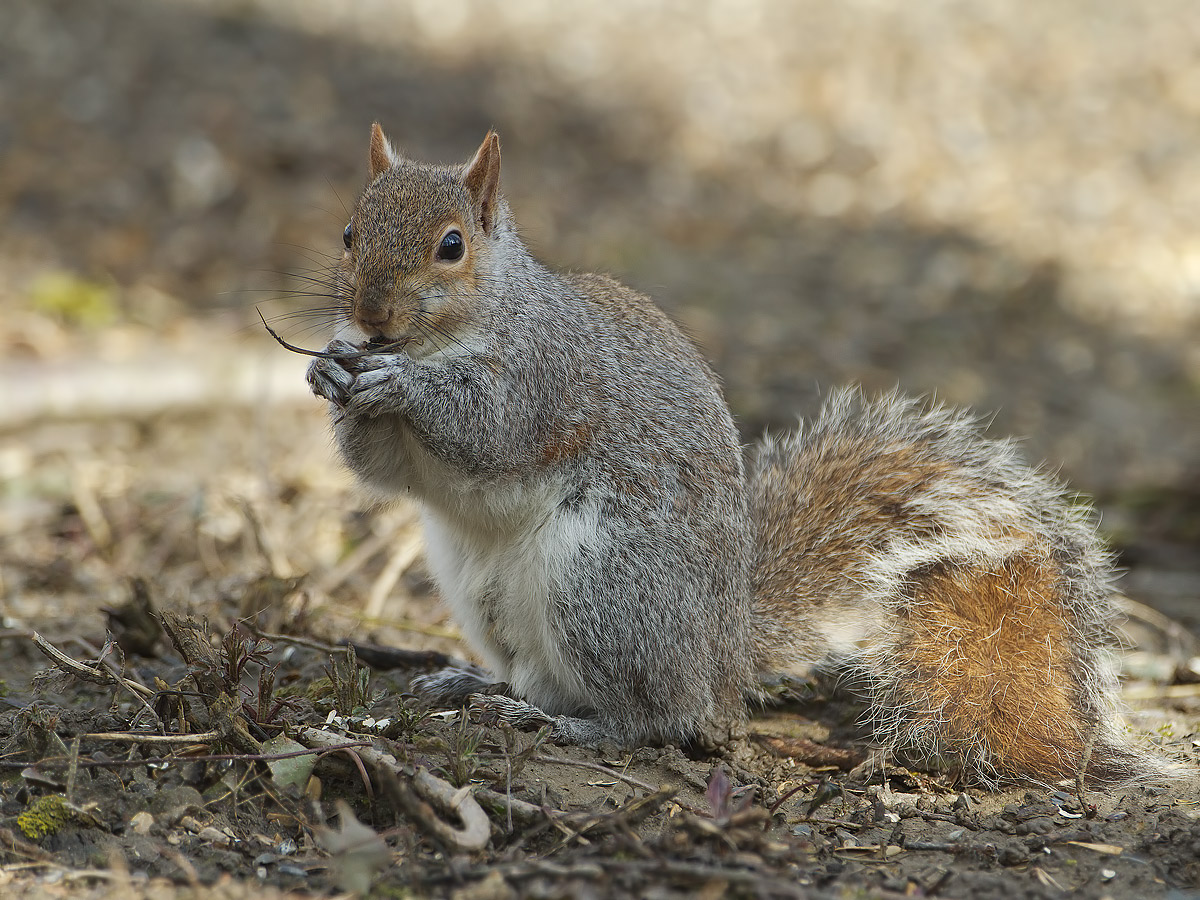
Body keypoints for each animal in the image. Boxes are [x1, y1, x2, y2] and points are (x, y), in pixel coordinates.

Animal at [304, 124, 1155, 786]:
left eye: (451, 246)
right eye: (347, 233)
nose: (371, 316)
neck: (457, 329)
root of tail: (725, 663)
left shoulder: (549, 374)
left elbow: (489, 428)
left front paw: (400, 383)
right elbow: (382, 468)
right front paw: (329, 373)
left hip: (606, 585)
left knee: (657, 715)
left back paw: (585, 726)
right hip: (479, 588)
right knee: (541, 679)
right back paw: (475, 680)